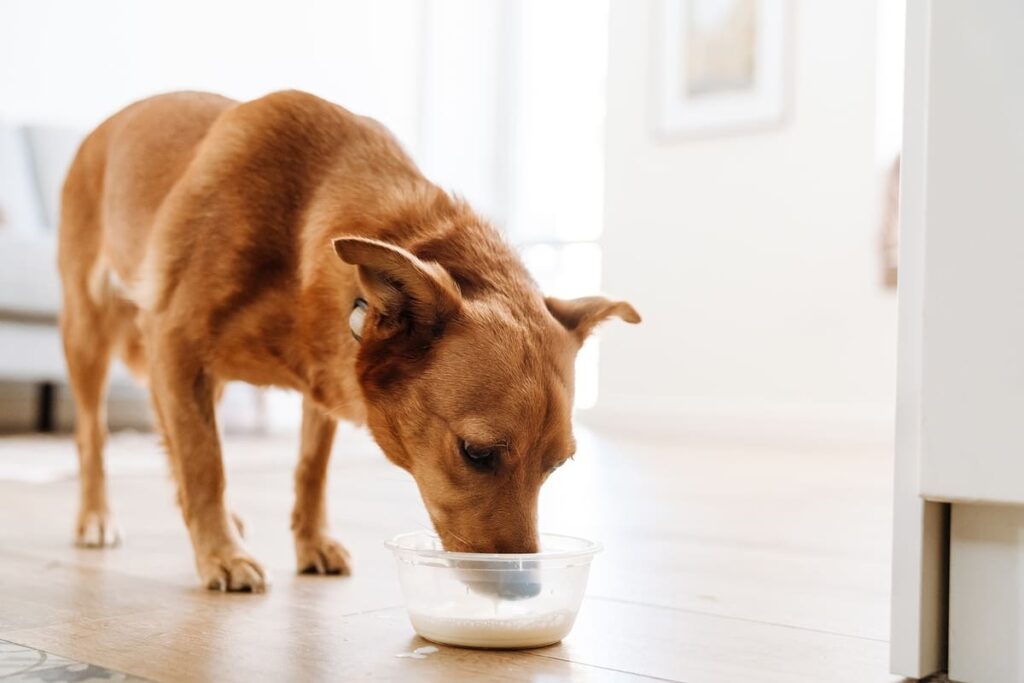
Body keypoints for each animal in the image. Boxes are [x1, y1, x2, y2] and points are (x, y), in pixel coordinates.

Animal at [58, 92, 638, 593]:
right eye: (476, 453)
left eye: (556, 466)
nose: (524, 590)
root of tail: (106, 125)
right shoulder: (177, 344)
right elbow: (207, 465)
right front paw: (222, 555)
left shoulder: (318, 381)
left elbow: (309, 470)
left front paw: (309, 542)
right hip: (89, 336)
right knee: (94, 437)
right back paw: (96, 517)